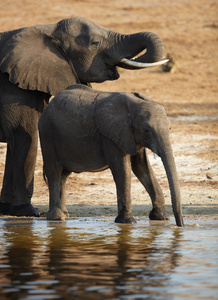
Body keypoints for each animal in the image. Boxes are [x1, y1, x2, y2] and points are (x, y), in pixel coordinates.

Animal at [0, 16, 167, 217]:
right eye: (95, 43)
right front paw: (27, 211)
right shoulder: (14, 89)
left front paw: (8, 209)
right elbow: (24, 138)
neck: (47, 30)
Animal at [38, 83, 184, 226]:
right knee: (54, 172)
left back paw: (65, 214)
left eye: (169, 128)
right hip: (47, 133)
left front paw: (161, 218)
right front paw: (127, 221)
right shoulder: (110, 136)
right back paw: (57, 218)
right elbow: (122, 169)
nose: (180, 224)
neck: (135, 105)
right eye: (146, 130)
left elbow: (142, 167)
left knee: (63, 175)